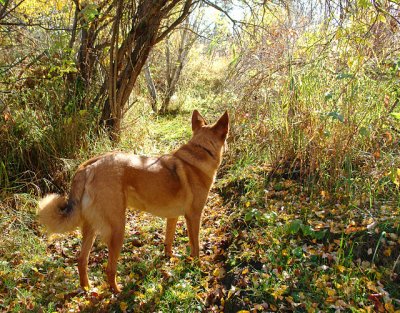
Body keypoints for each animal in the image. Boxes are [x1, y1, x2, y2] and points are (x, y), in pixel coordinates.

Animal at [39, 109, 231, 290]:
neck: (201, 151)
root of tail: (88, 167)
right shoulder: (193, 216)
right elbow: (195, 246)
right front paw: (197, 266)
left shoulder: (172, 217)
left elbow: (168, 241)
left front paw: (169, 258)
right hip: (118, 228)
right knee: (109, 269)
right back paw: (117, 291)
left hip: (91, 228)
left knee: (81, 260)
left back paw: (87, 289)